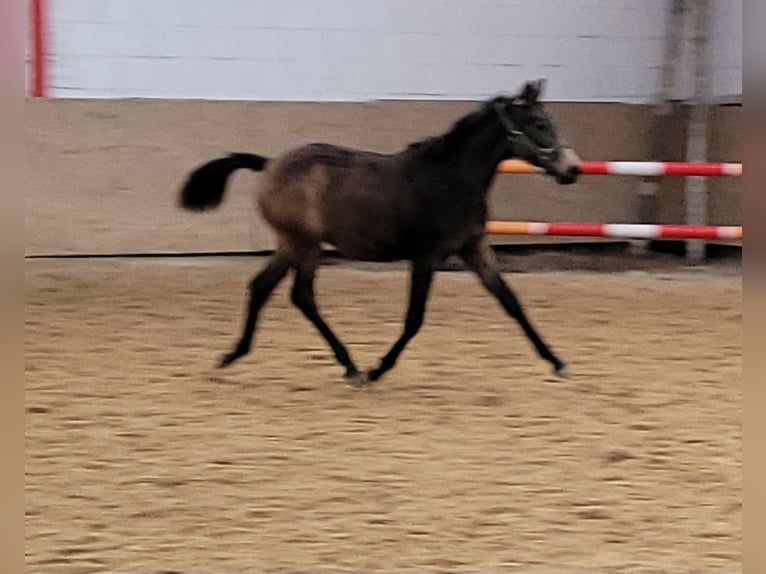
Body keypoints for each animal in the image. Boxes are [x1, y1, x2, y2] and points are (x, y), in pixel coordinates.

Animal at [179, 79, 580, 384]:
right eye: (539, 122)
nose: (571, 169)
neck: (450, 179)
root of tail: (271, 164)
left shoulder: (473, 248)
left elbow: (511, 301)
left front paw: (557, 362)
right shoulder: (426, 257)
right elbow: (414, 318)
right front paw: (378, 369)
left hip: (291, 244)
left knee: (263, 287)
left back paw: (234, 355)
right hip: (304, 245)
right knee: (301, 295)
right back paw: (352, 367)